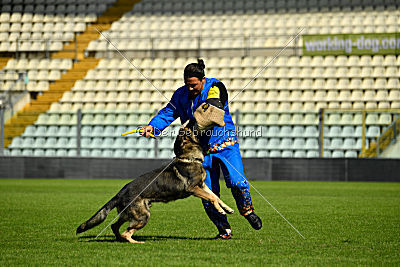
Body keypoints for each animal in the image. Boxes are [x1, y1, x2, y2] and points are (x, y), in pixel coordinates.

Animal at [77, 120, 234, 244]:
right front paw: (221, 210)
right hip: (143, 216)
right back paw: (136, 242)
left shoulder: (202, 185)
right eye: (186, 128)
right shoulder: (193, 189)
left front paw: (227, 209)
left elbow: (215, 196)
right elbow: (212, 198)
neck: (190, 157)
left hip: (129, 214)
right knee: (126, 232)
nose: (191, 119)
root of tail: (120, 193)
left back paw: (120, 239)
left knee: (114, 227)